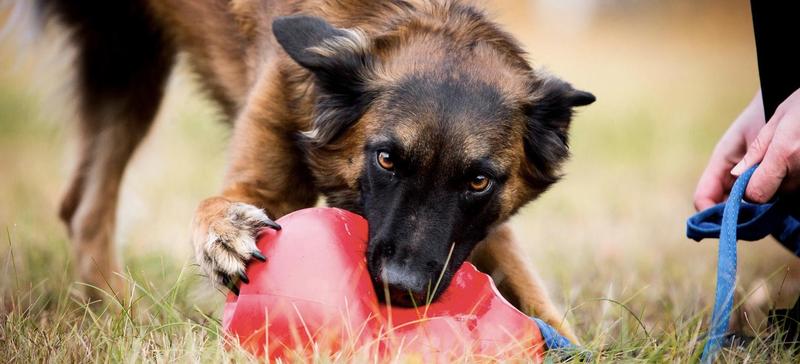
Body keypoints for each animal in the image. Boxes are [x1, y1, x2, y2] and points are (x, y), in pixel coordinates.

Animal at [37, 0, 592, 342]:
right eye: (386, 159)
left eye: (479, 181)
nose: (402, 289)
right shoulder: (265, 179)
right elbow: (219, 208)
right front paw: (225, 237)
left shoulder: (478, 233)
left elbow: (536, 299)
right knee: (88, 208)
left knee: (79, 206)